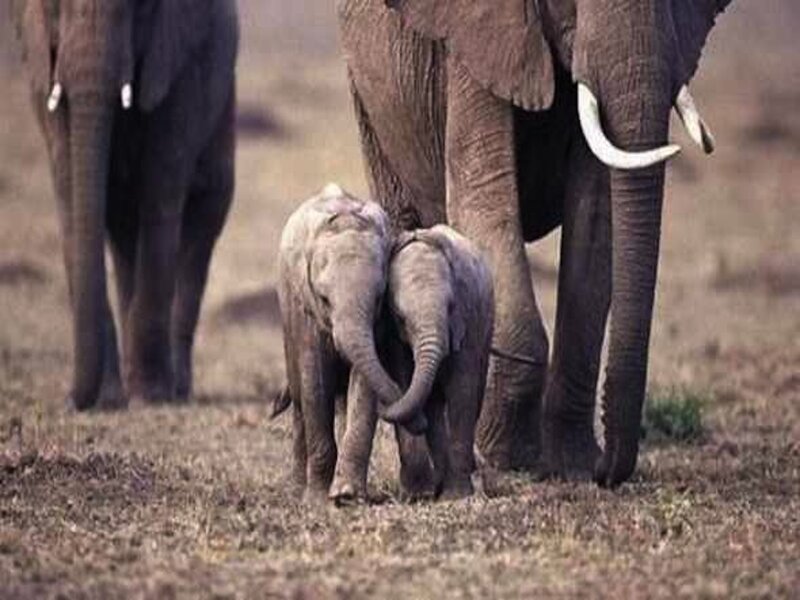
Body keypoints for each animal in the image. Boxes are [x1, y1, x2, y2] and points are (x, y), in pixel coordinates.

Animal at [10, 0, 239, 409]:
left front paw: (150, 398)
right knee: (122, 232)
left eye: (139, 7)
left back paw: (177, 390)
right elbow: (72, 200)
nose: (71, 401)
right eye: (54, 7)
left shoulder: (179, 70)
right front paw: (107, 400)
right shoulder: (43, 73)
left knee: (203, 219)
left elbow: (160, 195)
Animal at [274, 183, 426, 500]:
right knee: (299, 397)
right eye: (323, 299)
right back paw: (296, 489)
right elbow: (314, 381)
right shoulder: (305, 310)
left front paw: (346, 495)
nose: (421, 422)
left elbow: (363, 384)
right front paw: (317, 500)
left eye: (380, 297)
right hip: (286, 314)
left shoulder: (377, 324)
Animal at [330, 224, 494, 502]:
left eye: (451, 307)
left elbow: (462, 391)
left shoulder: (469, 318)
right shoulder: (396, 339)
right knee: (434, 405)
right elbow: (407, 380)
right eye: (400, 317)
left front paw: (456, 496)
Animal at [338, 0, 731, 485]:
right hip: (368, 99)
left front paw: (572, 463)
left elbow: (597, 218)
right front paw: (509, 455)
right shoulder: (475, 41)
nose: (608, 471)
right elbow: (486, 197)